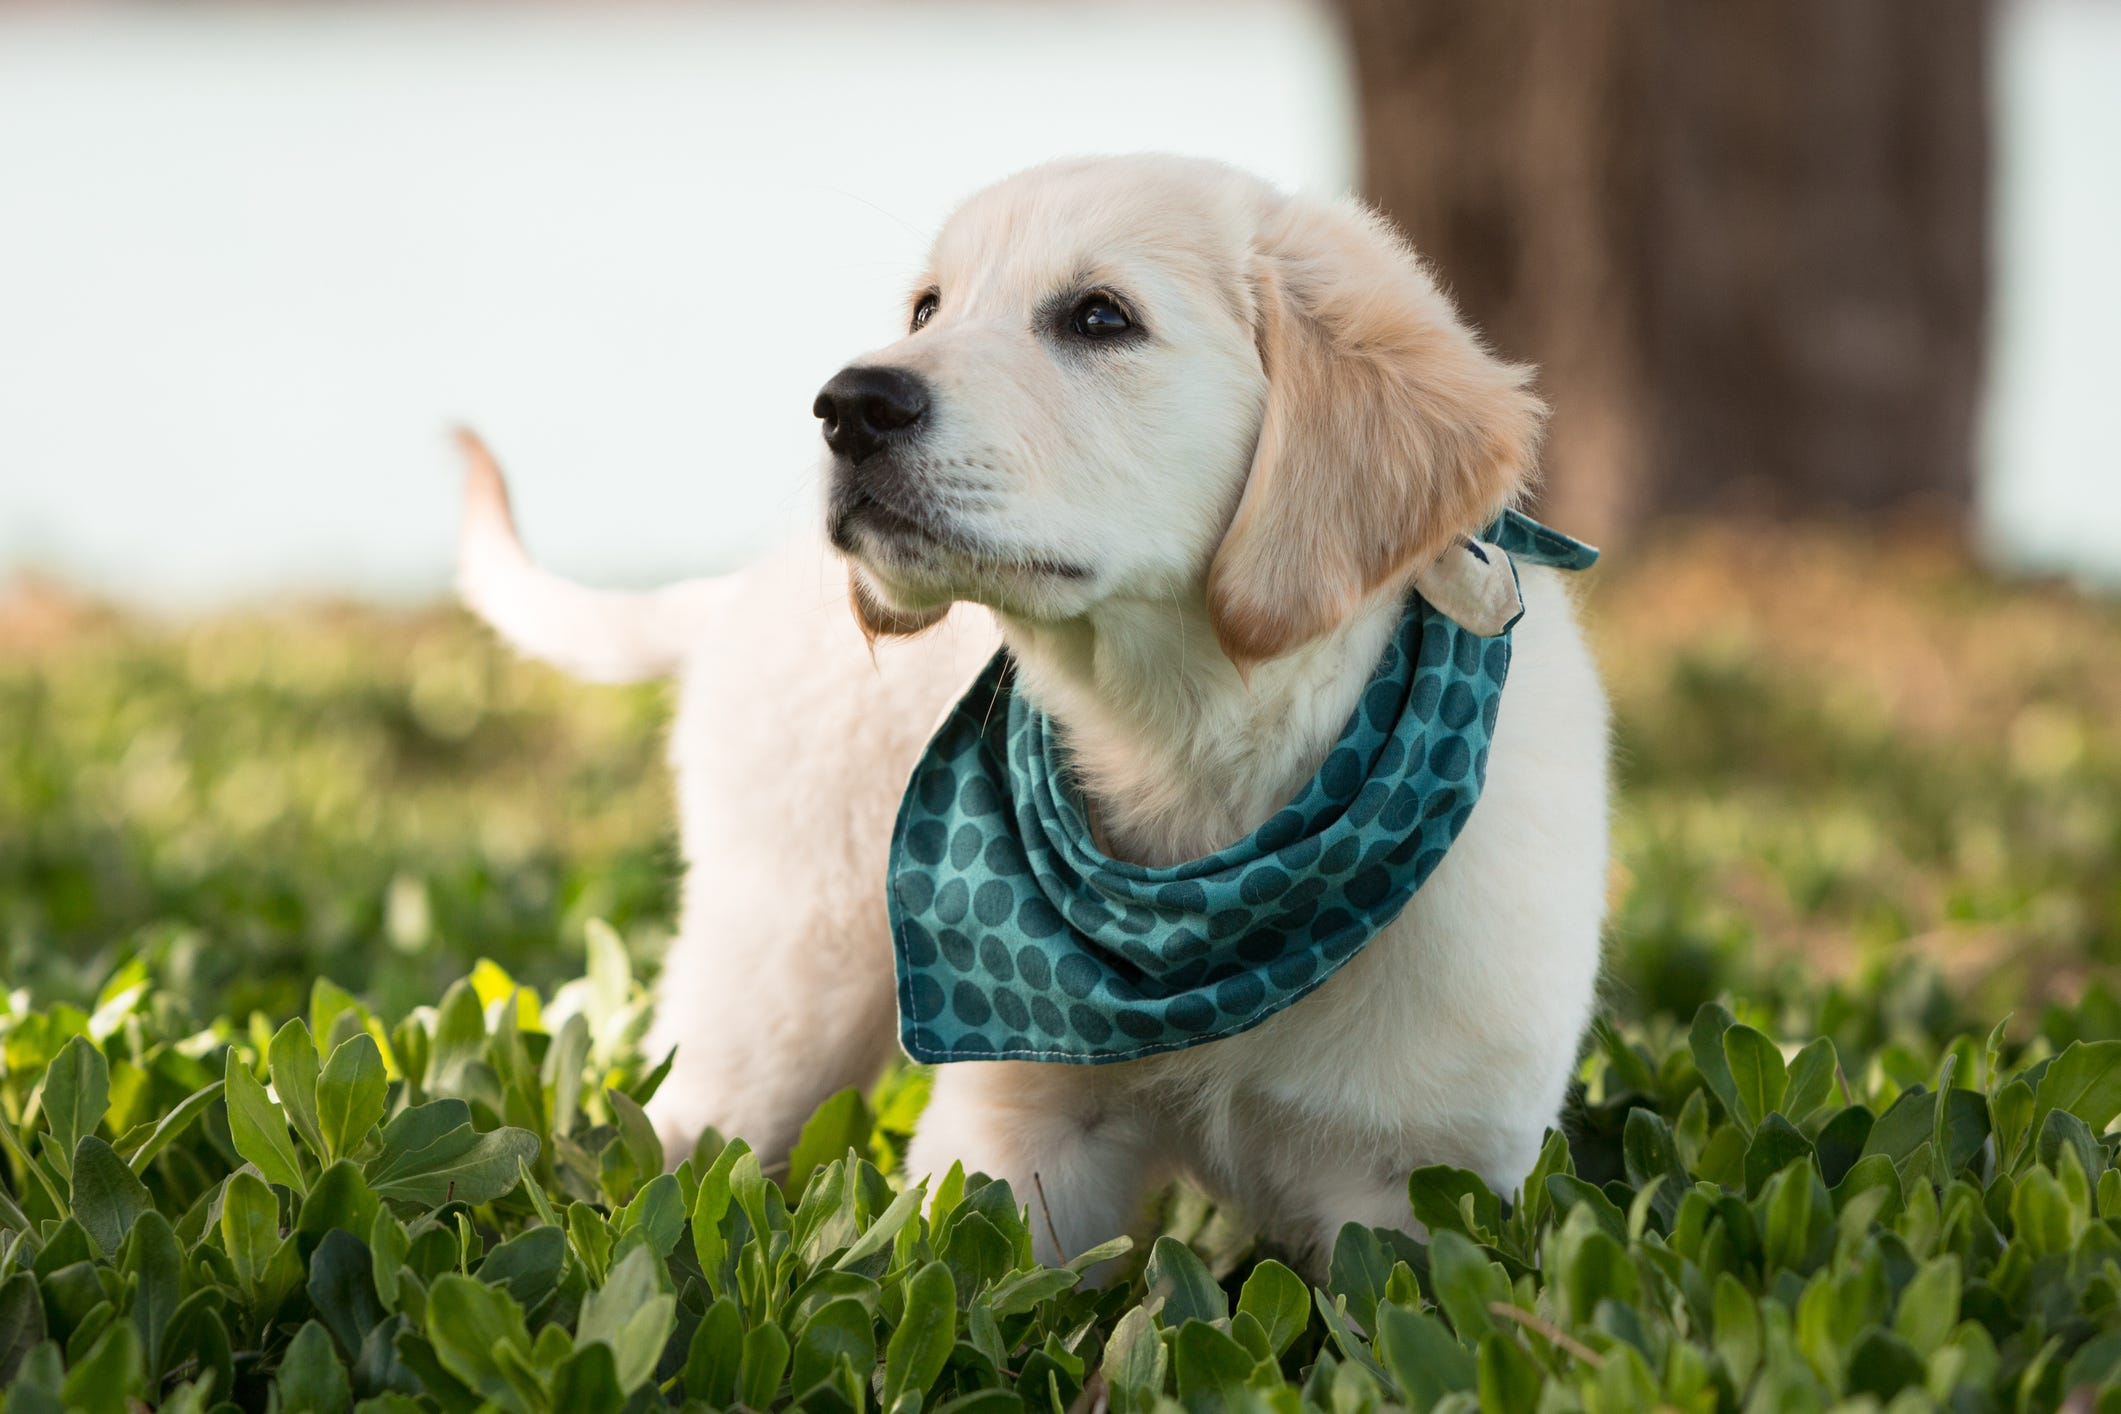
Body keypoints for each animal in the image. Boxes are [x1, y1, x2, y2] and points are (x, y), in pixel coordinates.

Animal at [456, 157, 1594, 1271]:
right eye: (926, 308)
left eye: (1100, 317)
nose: (846, 405)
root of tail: (739, 589)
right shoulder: (1017, 1137)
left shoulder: (1421, 1187)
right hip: (776, 989)